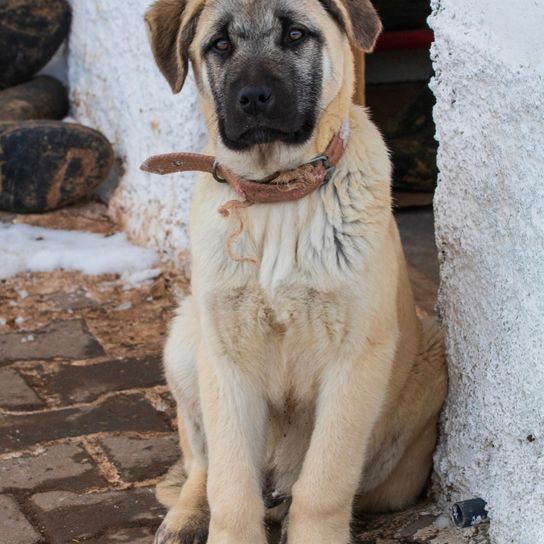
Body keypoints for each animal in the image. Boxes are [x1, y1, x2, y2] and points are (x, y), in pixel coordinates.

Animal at [143, 1, 446, 544]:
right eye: (220, 44)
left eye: (295, 35)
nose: (253, 98)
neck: (277, 195)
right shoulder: (226, 357)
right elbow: (229, 484)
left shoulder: (355, 357)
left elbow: (324, 483)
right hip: (185, 342)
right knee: (202, 466)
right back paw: (185, 518)